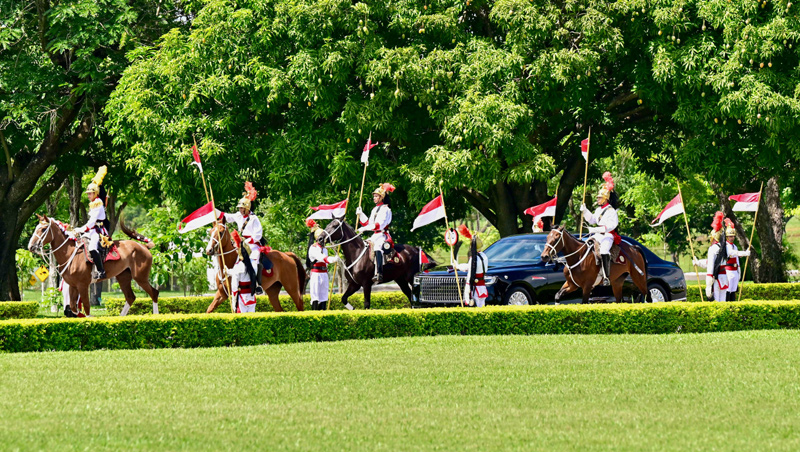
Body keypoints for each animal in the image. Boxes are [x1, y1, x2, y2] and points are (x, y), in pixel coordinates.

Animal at [28, 215, 159, 314]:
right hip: (123, 277)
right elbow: (73, 308)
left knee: (154, 293)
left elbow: (86, 307)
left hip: (140, 278)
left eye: (43, 229)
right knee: (130, 297)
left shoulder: (82, 285)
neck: (71, 253)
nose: (31, 246)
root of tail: (144, 247)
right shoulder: (73, 286)